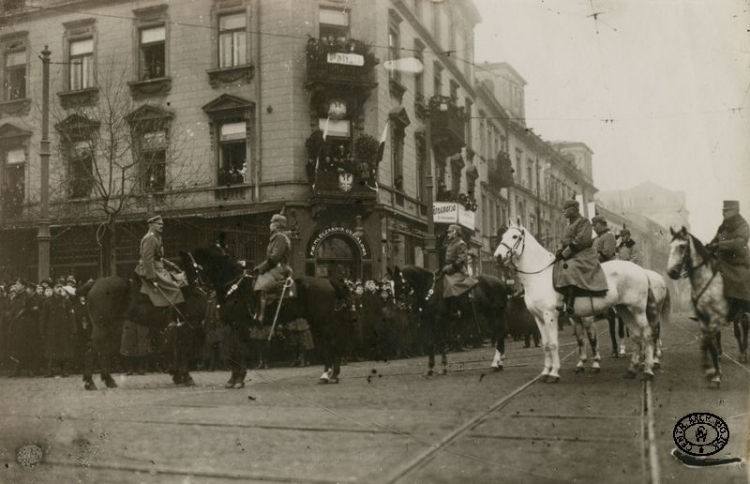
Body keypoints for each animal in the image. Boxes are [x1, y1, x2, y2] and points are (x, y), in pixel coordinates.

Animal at [78, 262, 209, 392]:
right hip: (102, 326)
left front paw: (177, 375)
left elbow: (177, 349)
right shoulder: (190, 324)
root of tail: (95, 283)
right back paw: (91, 382)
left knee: (101, 350)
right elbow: (185, 349)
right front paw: (186, 377)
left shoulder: (179, 326)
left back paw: (108, 380)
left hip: (107, 327)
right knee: (92, 349)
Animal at [188, 246, 352, 386]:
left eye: (193, 266)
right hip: (318, 323)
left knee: (331, 344)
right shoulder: (233, 326)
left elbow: (239, 350)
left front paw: (239, 380)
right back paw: (329, 375)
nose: (194, 288)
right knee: (328, 345)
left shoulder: (241, 325)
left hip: (322, 322)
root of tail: (328, 281)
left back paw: (331, 375)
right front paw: (233, 379)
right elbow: (234, 350)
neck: (234, 287)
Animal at [500, 223, 656, 382]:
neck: (540, 276)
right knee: (636, 335)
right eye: (503, 235)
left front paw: (554, 373)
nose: (498, 256)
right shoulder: (540, 318)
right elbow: (547, 344)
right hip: (624, 310)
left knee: (647, 334)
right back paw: (632, 370)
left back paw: (648, 369)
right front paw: (546, 372)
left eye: (515, 236)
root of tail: (642, 271)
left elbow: (556, 343)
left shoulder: (551, 315)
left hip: (637, 310)